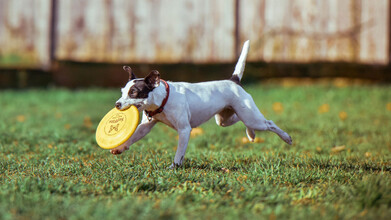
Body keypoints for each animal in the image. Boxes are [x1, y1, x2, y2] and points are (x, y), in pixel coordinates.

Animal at [112, 40, 292, 168]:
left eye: (134, 92)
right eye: (122, 91)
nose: (117, 104)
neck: (162, 99)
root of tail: (233, 81)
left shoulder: (184, 130)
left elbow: (179, 153)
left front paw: (174, 166)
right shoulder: (146, 126)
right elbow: (133, 136)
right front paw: (120, 147)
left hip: (251, 117)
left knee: (269, 123)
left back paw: (286, 137)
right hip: (225, 119)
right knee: (240, 120)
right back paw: (251, 134)